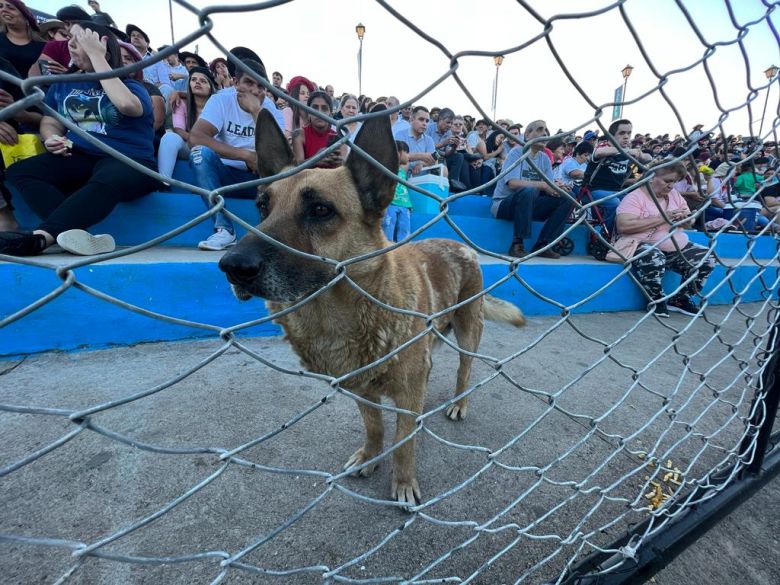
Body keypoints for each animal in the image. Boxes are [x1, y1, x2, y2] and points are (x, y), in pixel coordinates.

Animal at [216, 109, 528, 506]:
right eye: (262, 206)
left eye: (320, 210)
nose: (232, 267)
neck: (342, 315)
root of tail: (460, 246)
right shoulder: (361, 390)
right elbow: (375, 427)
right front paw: (370, 455)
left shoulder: (406, 394)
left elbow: (403, 443)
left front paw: (404, 482)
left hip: (467, 332)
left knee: (464, 371)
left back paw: (459, 402)